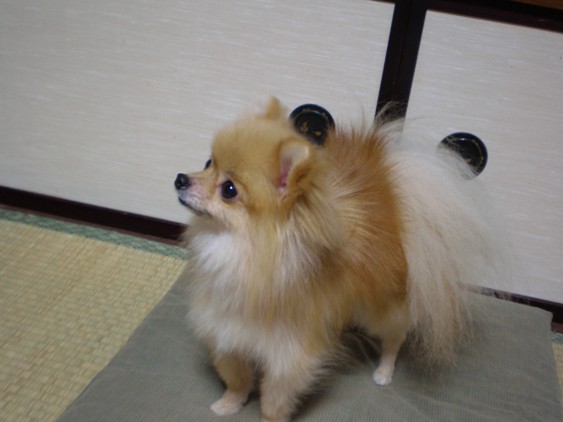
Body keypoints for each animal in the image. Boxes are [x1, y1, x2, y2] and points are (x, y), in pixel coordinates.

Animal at [175, 97, 500, 422]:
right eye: (208, 163)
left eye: (229, 190)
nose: (180, 178)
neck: (243, 251)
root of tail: (389, 191)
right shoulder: (226, 334)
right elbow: (237, 378)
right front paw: (229, 403)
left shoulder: (289, 355)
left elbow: (274, 399)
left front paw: (268, 419)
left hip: (381, 309)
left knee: (396, 336)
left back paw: (385, 370)